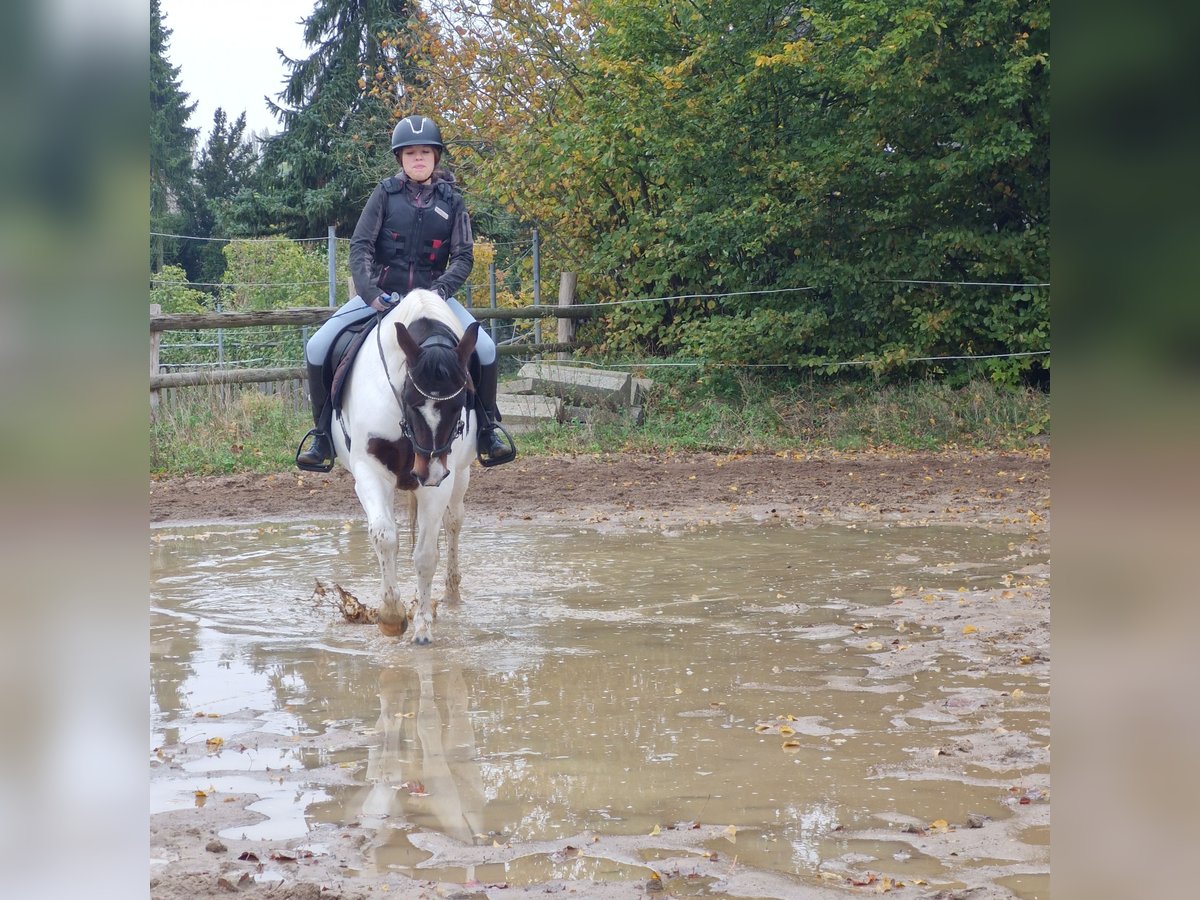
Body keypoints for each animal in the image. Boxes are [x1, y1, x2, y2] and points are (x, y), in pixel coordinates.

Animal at [331, 286, 480, 643]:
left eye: (461, 402)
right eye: (411, 399)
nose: (429, 473)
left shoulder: (441, 482)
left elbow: (426, 555)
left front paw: (423, 627)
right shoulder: (370, 473)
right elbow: (384, 537)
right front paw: (391, 616)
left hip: (460, 475)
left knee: (453, 523)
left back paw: (451, 595)